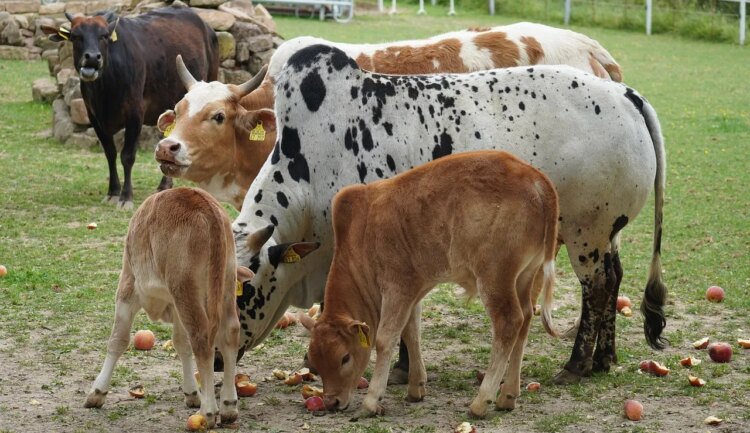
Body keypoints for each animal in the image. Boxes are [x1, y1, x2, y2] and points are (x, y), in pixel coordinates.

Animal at [43, 7, 219, 209]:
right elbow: (110, 153)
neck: (105, 91)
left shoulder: (135, 114)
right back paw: (164, 185)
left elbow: (127, 156)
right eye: (75, 36)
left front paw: (126, 196)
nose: (93, 58)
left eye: (104, 36)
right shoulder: (95, 118)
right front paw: (113, 192)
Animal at [86, 187, 242, 426]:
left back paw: (208, 411)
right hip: (224, 282)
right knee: (230, 333)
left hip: (185, 289)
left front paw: (97, 392)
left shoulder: (127, 287)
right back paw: (228, 405)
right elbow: (181, 344)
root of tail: (205, 205)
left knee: (201, 338)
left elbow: (118, 340)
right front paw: (191, 393)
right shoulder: (175, 307)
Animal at [232, 44, 668, 388]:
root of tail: (625, 94)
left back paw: (576, 365)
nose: (221, 357)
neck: (309, 168)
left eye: (245, 292)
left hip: (585, 232)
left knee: (597, 287)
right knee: (614, 277)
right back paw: (604, 358)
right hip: (605, 234)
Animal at [304, 151, 560, 418]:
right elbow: (411, 332)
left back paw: (481, 401)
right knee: (526, 317)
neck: (361, 234)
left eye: (345, 358)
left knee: (510, 322)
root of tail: (533, 177)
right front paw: (416, 387)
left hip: (494, 277)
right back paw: (507, 395)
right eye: (314, 362)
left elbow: (385, 339)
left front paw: (371, 401)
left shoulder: (396, 288)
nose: (332, 401)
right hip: (524, 275)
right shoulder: (413, 291)